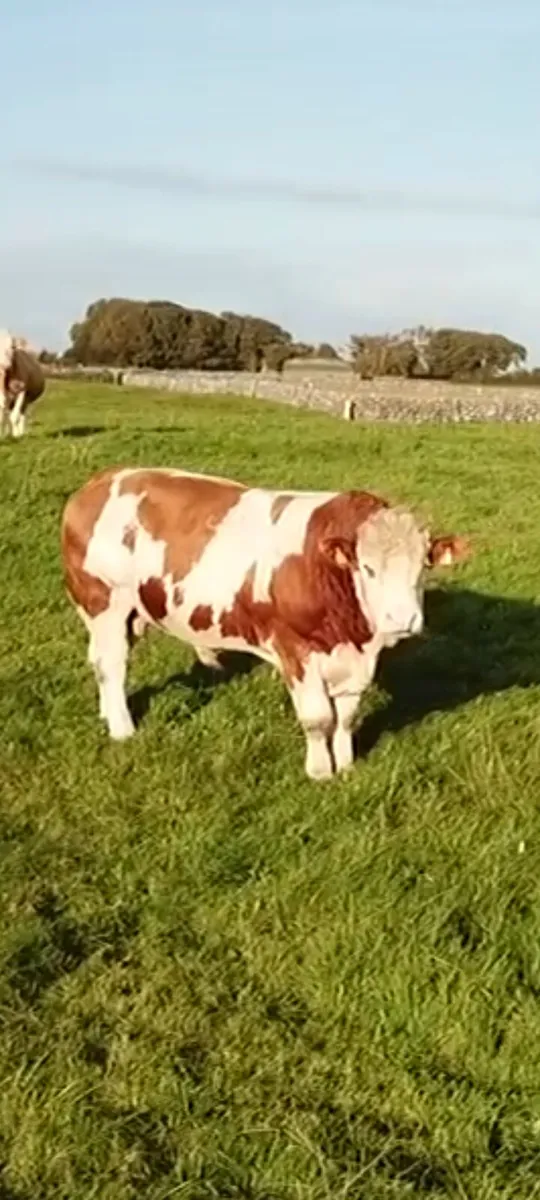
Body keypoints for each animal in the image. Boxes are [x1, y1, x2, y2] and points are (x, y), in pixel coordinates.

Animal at [61, 466, 470, 779]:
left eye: (423, 567)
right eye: (367, 568)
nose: (402, 618)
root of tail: (100, 482)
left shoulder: (357, 660)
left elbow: (346, 717)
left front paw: (346, 765)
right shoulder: (296, 650)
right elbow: (318, 718)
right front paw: (320, 771)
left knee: (100, 661)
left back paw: (107, 713)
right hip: (105, 602)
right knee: (113, 664)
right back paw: (122, 728)